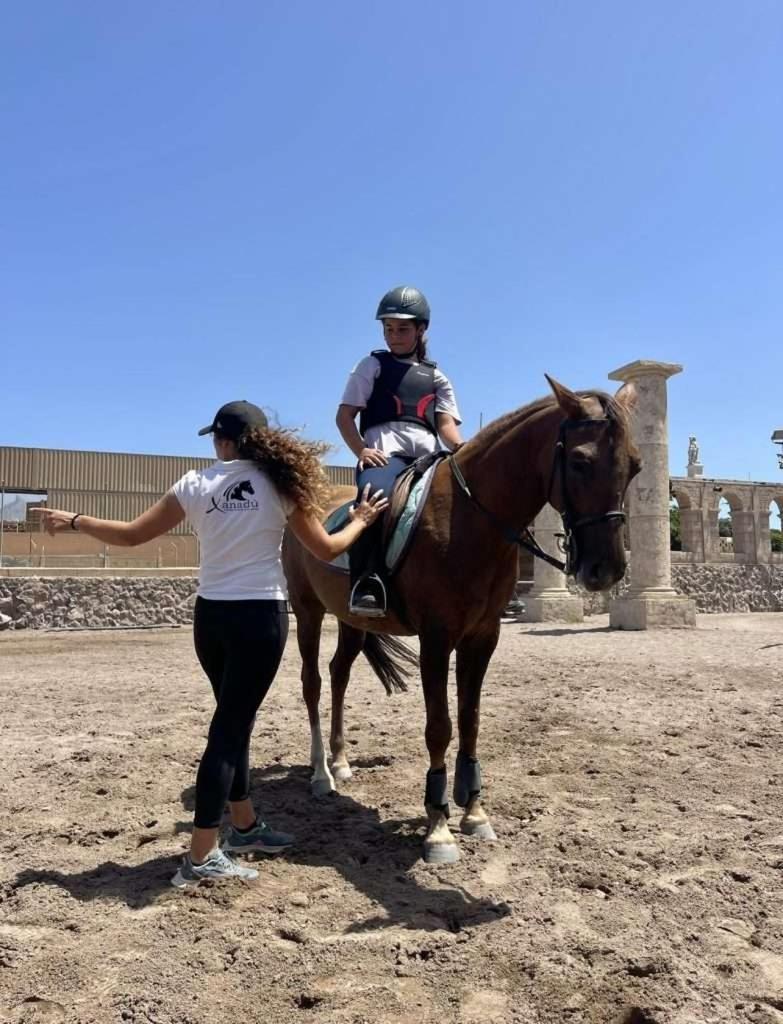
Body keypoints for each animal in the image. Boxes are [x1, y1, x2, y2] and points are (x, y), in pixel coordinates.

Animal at [284, 376, 638, 864]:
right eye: (581, 461)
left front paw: (474, 811)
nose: (607, 569)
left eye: (636, 466)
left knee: (339, 674)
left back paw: (340, 762)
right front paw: (438, 828)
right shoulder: (436, 639)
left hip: (352, 620)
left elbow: (470, 721)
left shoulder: (483, 637)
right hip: (308, 611)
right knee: (313, 683)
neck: (472, 518)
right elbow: (440, 728)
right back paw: (321, 773)